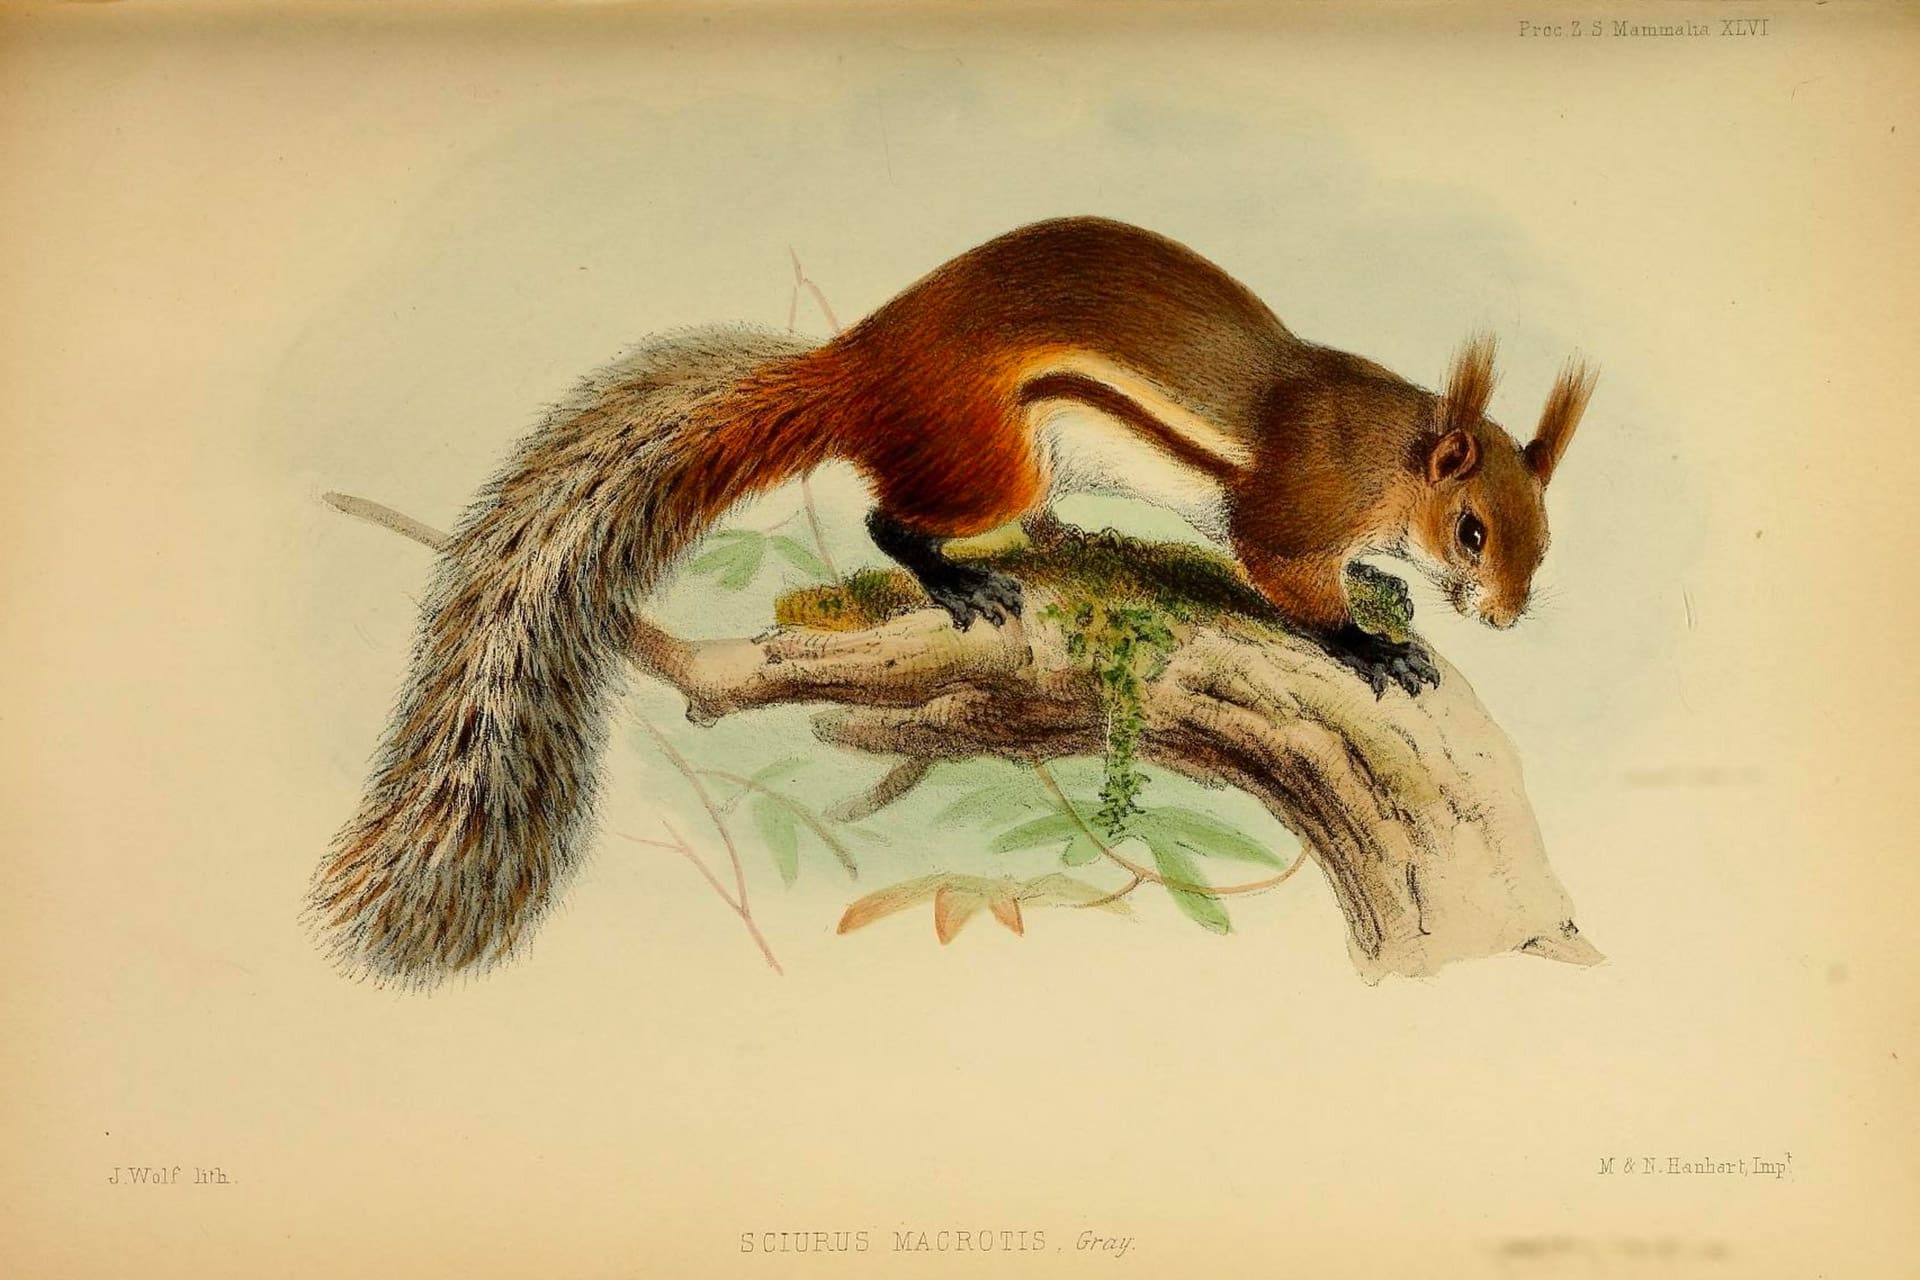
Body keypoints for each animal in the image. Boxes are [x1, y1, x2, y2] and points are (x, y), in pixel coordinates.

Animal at [313, 216, 1596, 986]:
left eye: (1543, 532)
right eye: (1473, 529)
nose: (1505, 615)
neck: (1381, 452)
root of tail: (857, 375)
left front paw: (1384, 590)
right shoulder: (1290, 508)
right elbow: (1281, 574)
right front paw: (1366, 642)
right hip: (992, 453)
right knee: (895, 519)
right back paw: (956, 576)